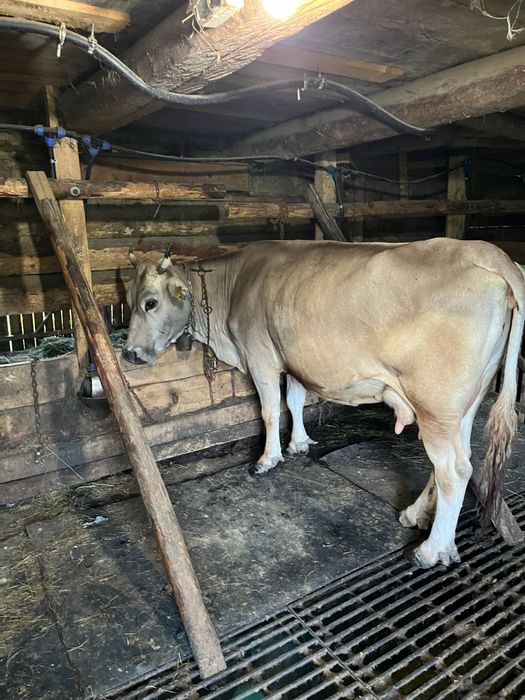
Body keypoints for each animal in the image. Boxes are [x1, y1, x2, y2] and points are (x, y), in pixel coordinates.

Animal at [124, 238, 525, 569]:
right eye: (128, 302)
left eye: (150, 303)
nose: (128, 353)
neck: (234, 288)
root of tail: (489, 253)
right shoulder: (293, 358)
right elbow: (295, 399)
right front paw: (299, 443)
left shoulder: (260, 356)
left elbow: (270, 410)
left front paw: (267, 459)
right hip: (463, 403)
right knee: (456, 460)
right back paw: (416, 514)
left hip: (436, 403)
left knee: (453, 470)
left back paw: (431, 550)